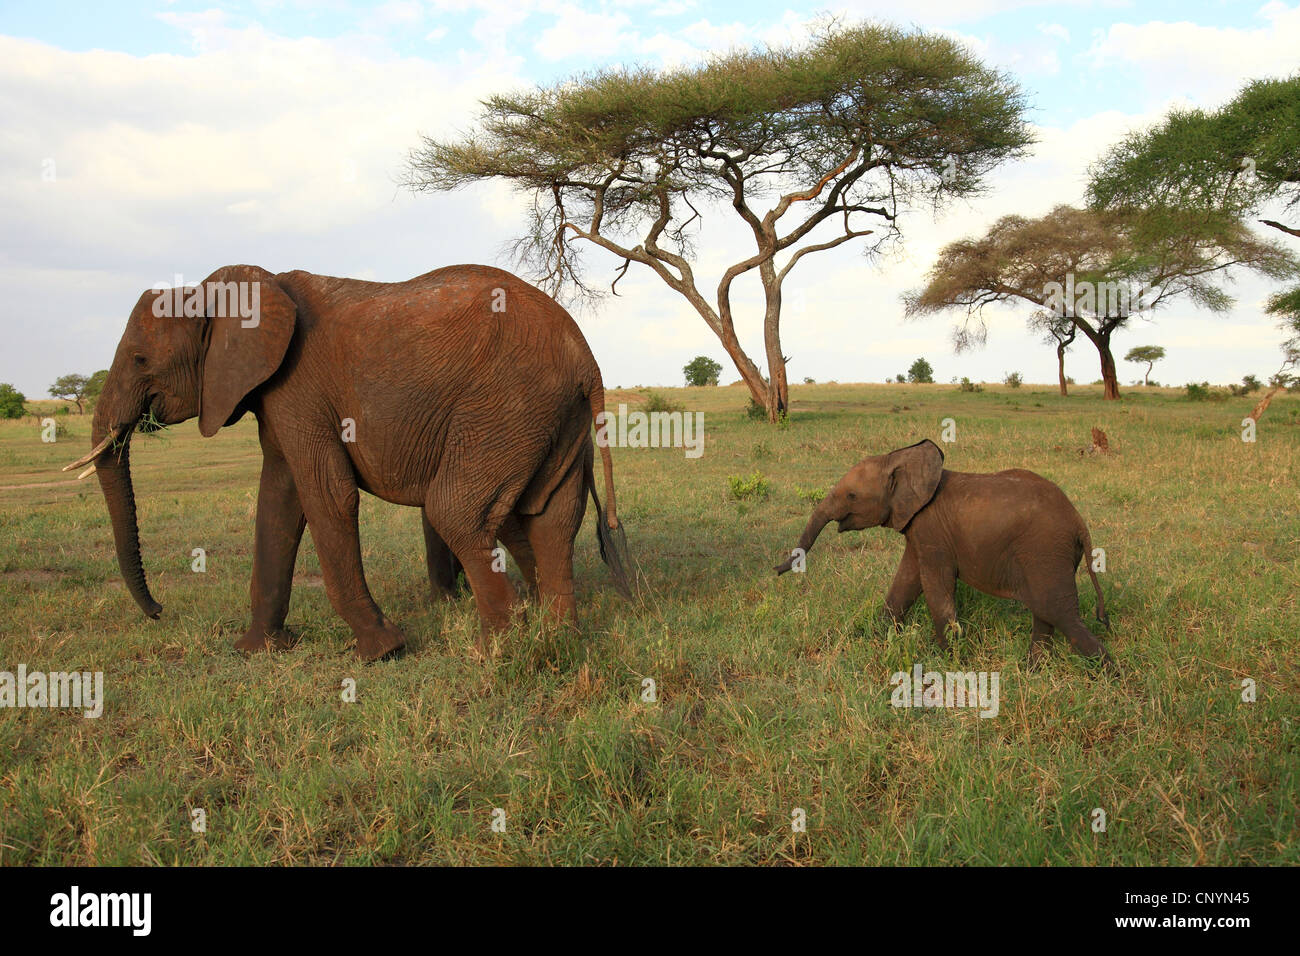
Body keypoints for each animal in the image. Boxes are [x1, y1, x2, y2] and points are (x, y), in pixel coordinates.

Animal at [67, 265, 634, 660]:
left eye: (140, 359)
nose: (159, 612)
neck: (226, 291)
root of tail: (587, 357)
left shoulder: (299, 389)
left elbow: (325, 494)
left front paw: (381, 651)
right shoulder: (278, 397)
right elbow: (278, 502)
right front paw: (256, 651)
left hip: (507, 405)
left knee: (456, 512)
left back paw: (494, 653)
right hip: (553, 418)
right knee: (549, 521)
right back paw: (557, 639)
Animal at [774, 439, 1112, 671]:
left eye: (852, 496)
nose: (777, 571)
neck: (898, 459)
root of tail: (1079, 522)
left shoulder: (932, 531)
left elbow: (935, 586)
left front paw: (950, 662)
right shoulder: (917, 528)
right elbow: (906, 582)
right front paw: (880, 636)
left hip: (1045, 551)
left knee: (1058, 612)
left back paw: (1107, 674)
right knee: (1046, 612)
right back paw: (1032, 671)